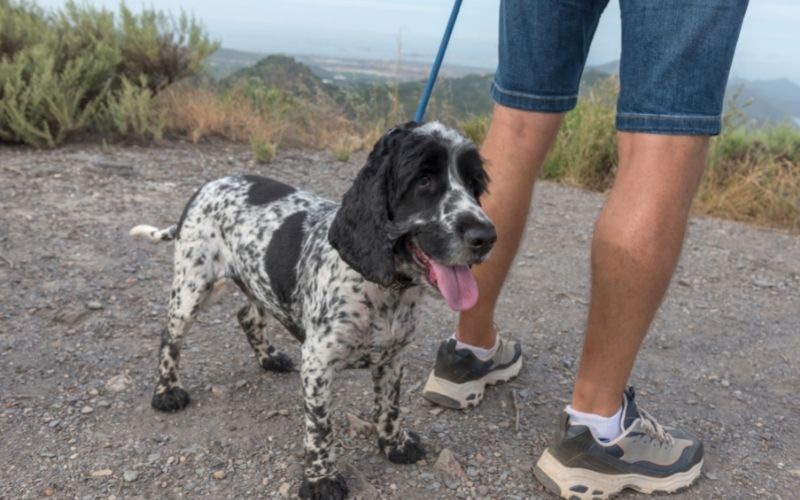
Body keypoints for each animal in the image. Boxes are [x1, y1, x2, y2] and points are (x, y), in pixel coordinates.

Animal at [129, 120, 496, 496]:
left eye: (474, 184)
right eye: (424, 180)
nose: (486, 237)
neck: (383, 289)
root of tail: (206, 185)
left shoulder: (393, 358)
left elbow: (390, 406)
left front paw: (395, 444)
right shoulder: (318, 363)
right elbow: (321, 427)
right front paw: (322, 479)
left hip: (255, 281)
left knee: (247, 316)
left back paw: (269, 358)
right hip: (191, 285)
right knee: (170, 337)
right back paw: (167, 391)